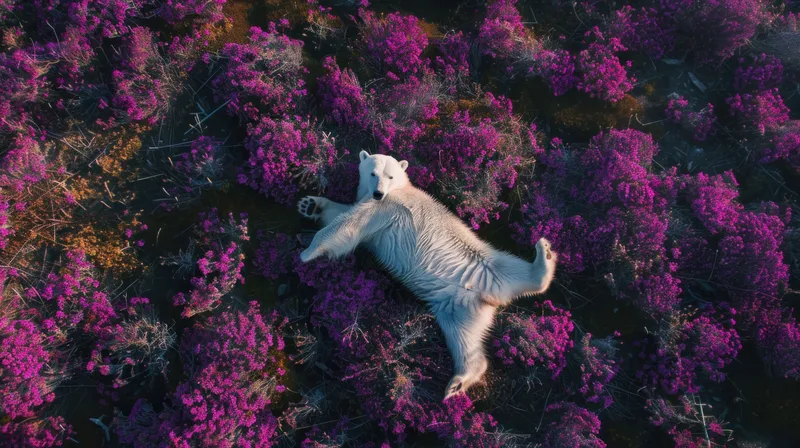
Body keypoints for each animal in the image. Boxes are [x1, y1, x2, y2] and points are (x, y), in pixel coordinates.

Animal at [297, 151, 557, 399]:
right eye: (373, 173)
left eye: (390, 176)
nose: (379, 192)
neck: (399, 189)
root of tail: (489, 297)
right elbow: (344, 215)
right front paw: (310, 204)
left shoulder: (389, 206)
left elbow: (348, 225)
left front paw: (307, 252)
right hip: (456, 305)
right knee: (464, 338)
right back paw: (459, 382)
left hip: (489, 265)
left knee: (517, 271)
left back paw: (544, 255)